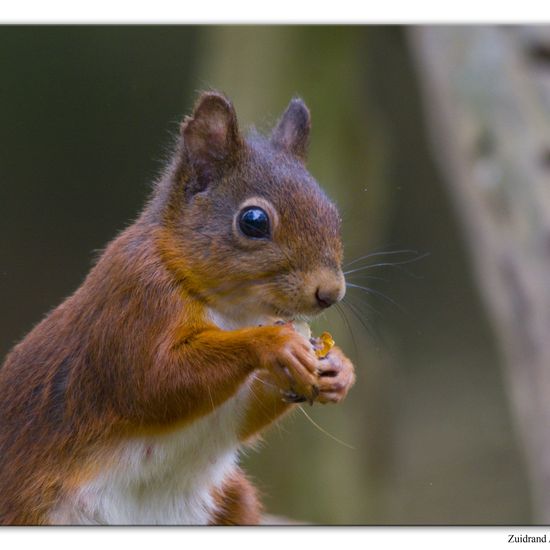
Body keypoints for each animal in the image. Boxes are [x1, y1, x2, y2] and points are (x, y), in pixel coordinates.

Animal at [0, 90, 358, 528]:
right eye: (253, 221)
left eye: (333, 212)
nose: (331, 292)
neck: (234, 312)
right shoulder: (135, 299)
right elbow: (154, 381)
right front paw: (274, 343)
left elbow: (240, 415)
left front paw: (340, 369)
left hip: (230, 505)